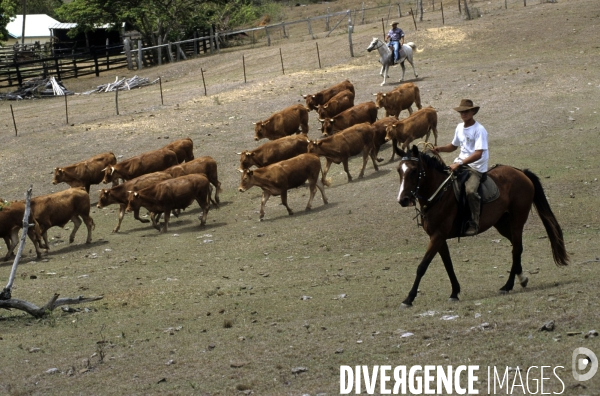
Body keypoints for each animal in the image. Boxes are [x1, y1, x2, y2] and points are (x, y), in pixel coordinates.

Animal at [394, 145, 568, 306]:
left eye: (414, 170)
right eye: (399, 170)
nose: (403, 200)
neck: (439, 194)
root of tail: (521, 172)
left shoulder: (438, 236)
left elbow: (422, 266)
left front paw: (409, 298)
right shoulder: (438, 238)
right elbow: (448, 265)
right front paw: (454, 292)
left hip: (517, 221)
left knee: (516, 249)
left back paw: (508, 285)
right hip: (502, 224)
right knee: (516, 247)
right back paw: (521, 278)